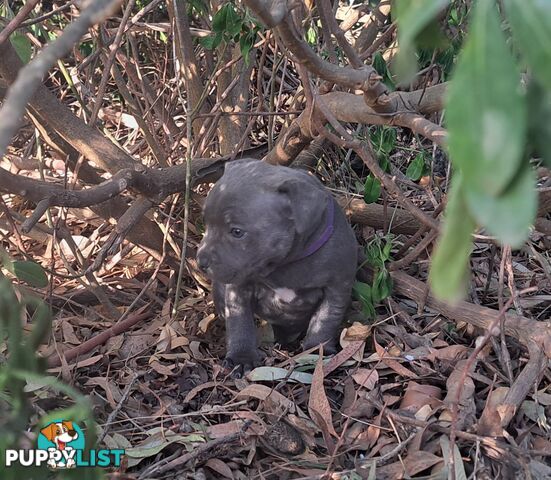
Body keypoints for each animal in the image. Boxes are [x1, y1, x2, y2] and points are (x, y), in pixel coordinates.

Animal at [197, 159, 358, 376]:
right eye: (206, 224)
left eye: (237, 232)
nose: (201, 261)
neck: (286, 263)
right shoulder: (239, 288)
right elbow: (239, 321)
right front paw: (241, 357)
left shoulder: (337, 289)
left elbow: (325, 320)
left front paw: (316, 352)